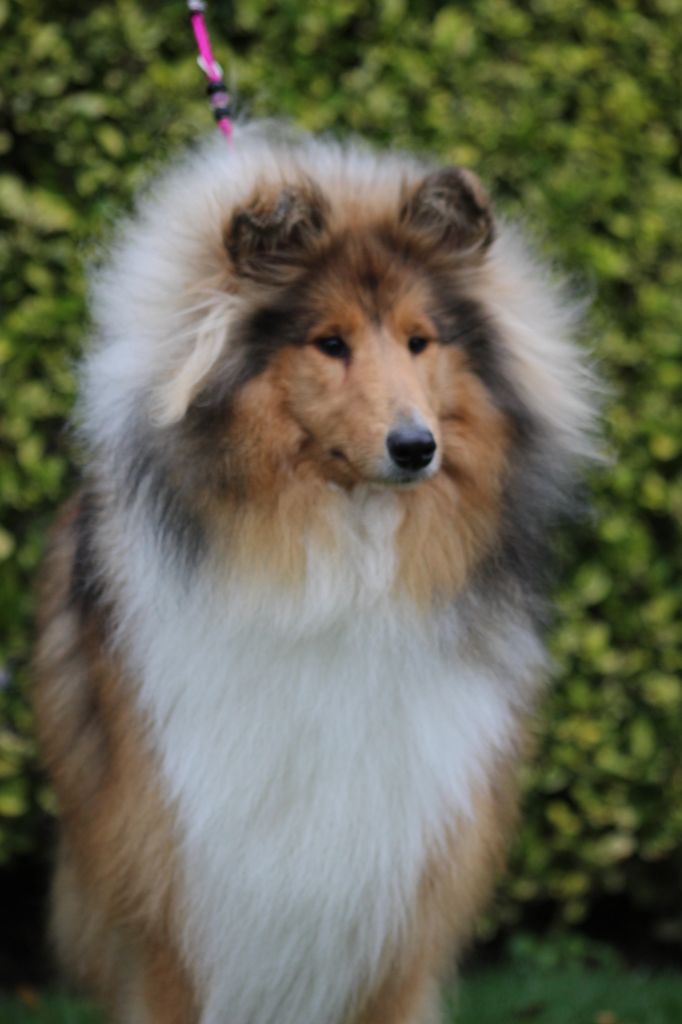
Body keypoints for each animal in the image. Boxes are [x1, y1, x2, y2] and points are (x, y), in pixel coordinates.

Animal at [33, 124, 597, 1024]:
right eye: (329, 342)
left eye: (419, 340)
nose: (416, 447)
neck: (344, 565)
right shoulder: (175, 898)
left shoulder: (395, 913)